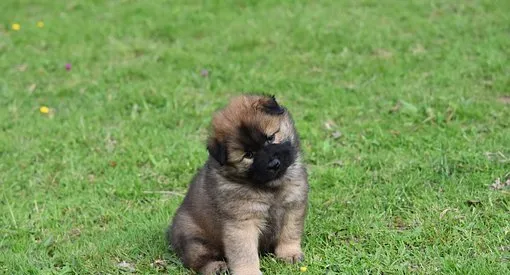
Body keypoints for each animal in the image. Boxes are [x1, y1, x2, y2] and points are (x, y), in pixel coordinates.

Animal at [169, 95, 308, 275]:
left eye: (270, 138)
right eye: (248, 155)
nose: (274, 164)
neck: (270, 187)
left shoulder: (293, 207)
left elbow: (289, 233)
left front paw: (289, 254)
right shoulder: (242, 222)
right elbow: (244, 253)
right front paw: (249, 271)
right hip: (195, 241)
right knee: (197, 261)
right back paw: (216, 267)